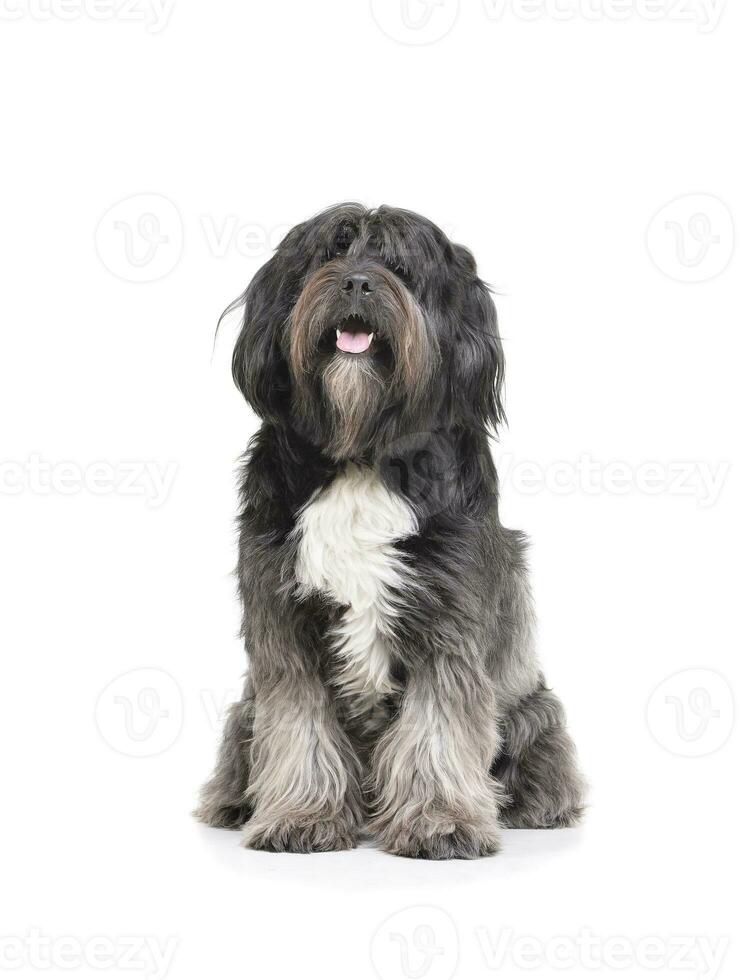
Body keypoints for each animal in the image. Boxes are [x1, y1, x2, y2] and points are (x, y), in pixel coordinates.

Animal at [195, 203, 584, 852]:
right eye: (330, 253)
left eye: (400, 267)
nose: (356, 282)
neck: (362, 451)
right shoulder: (283, 616)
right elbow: (300, 723)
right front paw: (302, 816)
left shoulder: (447, 612)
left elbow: (438, 726)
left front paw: (441, 821)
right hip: (243, 715)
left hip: (532, 712)